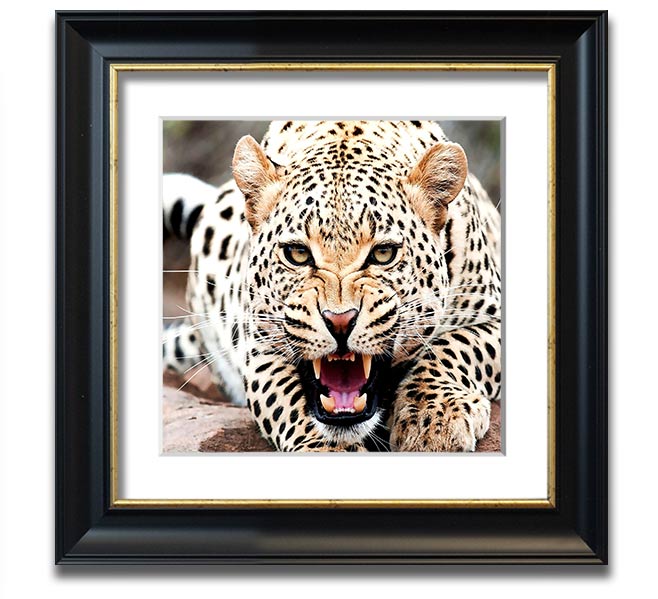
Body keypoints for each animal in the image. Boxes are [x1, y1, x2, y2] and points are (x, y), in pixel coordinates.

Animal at [163, 120, 501, 452]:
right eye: (297, 254)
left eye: (383, 253)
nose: (340, 322)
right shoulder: (259, 347)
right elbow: (288, 403)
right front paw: (325, 448)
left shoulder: (493, 316)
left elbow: (455, 346)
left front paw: (433, 417)